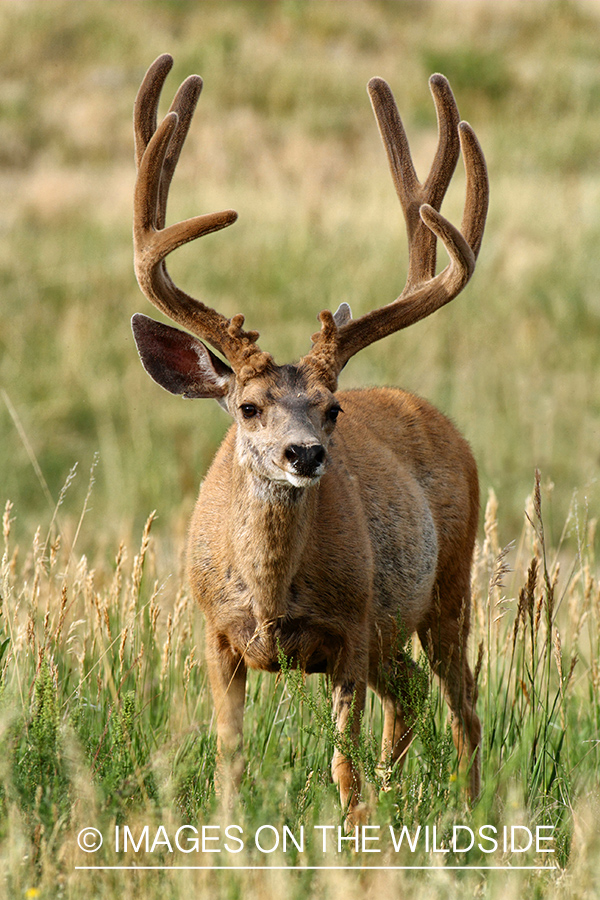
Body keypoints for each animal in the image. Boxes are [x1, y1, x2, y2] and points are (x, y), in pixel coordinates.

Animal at [130, 53, 488, 827]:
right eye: (248, 407)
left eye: (332, 410)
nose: (305, 454)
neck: (271, 597)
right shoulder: (215, 632)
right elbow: (229, 755)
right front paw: (229, 832)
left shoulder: (351, 628)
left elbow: (340, 767)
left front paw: (353, 832)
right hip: (397, 629)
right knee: (411, 692)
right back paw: (400, 794)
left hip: (448, 586)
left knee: (462, 704)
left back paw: (472, 813)